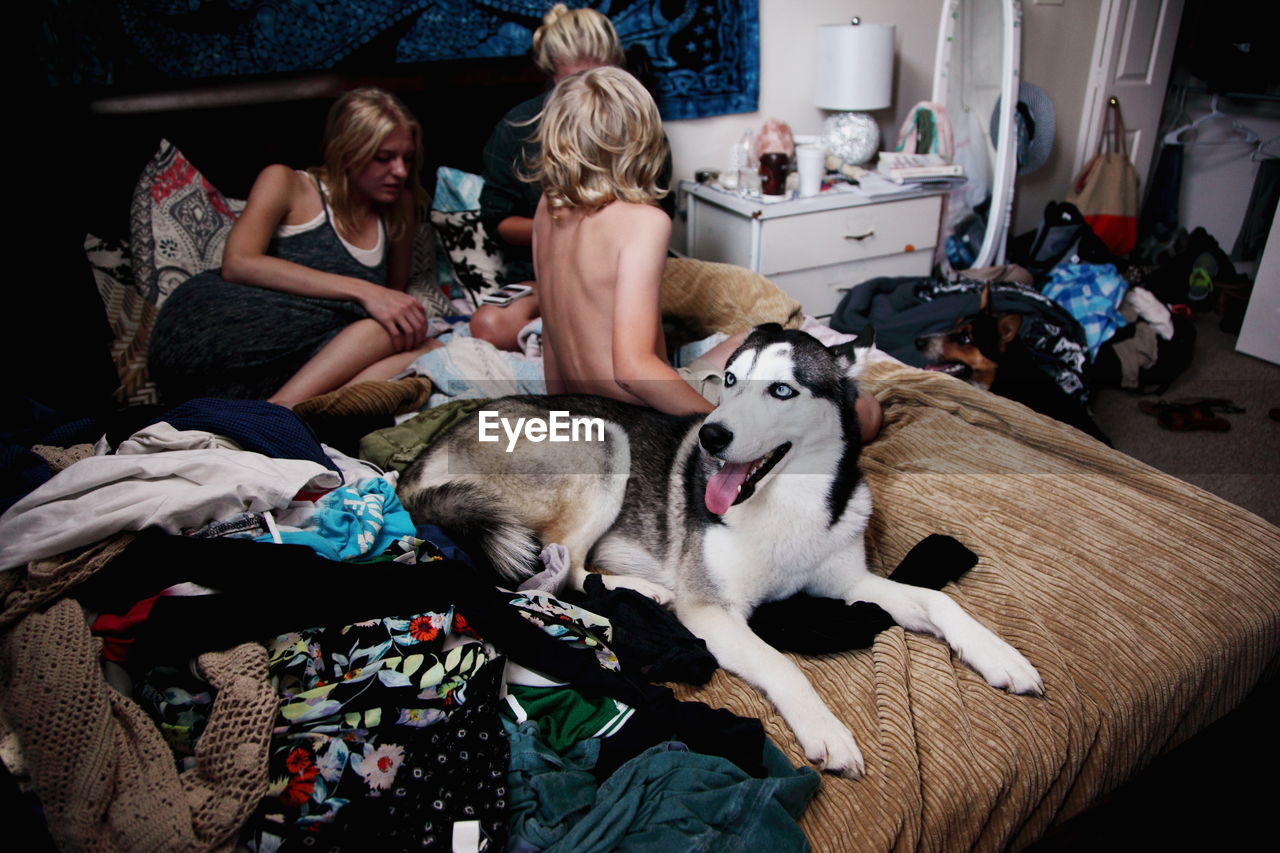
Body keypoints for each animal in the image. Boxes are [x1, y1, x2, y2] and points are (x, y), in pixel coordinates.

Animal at [396, 322, 1039, 773]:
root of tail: (425, 453)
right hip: (605, 443)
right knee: (561, 567)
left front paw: (1000, 655)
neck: (786, 501)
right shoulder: (713, 612)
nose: (711, 434)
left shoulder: (849, 583)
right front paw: (824, 728)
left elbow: (938, 600)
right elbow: (781, 662)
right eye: (729, 382)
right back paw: (643, 590)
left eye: (781, 390)